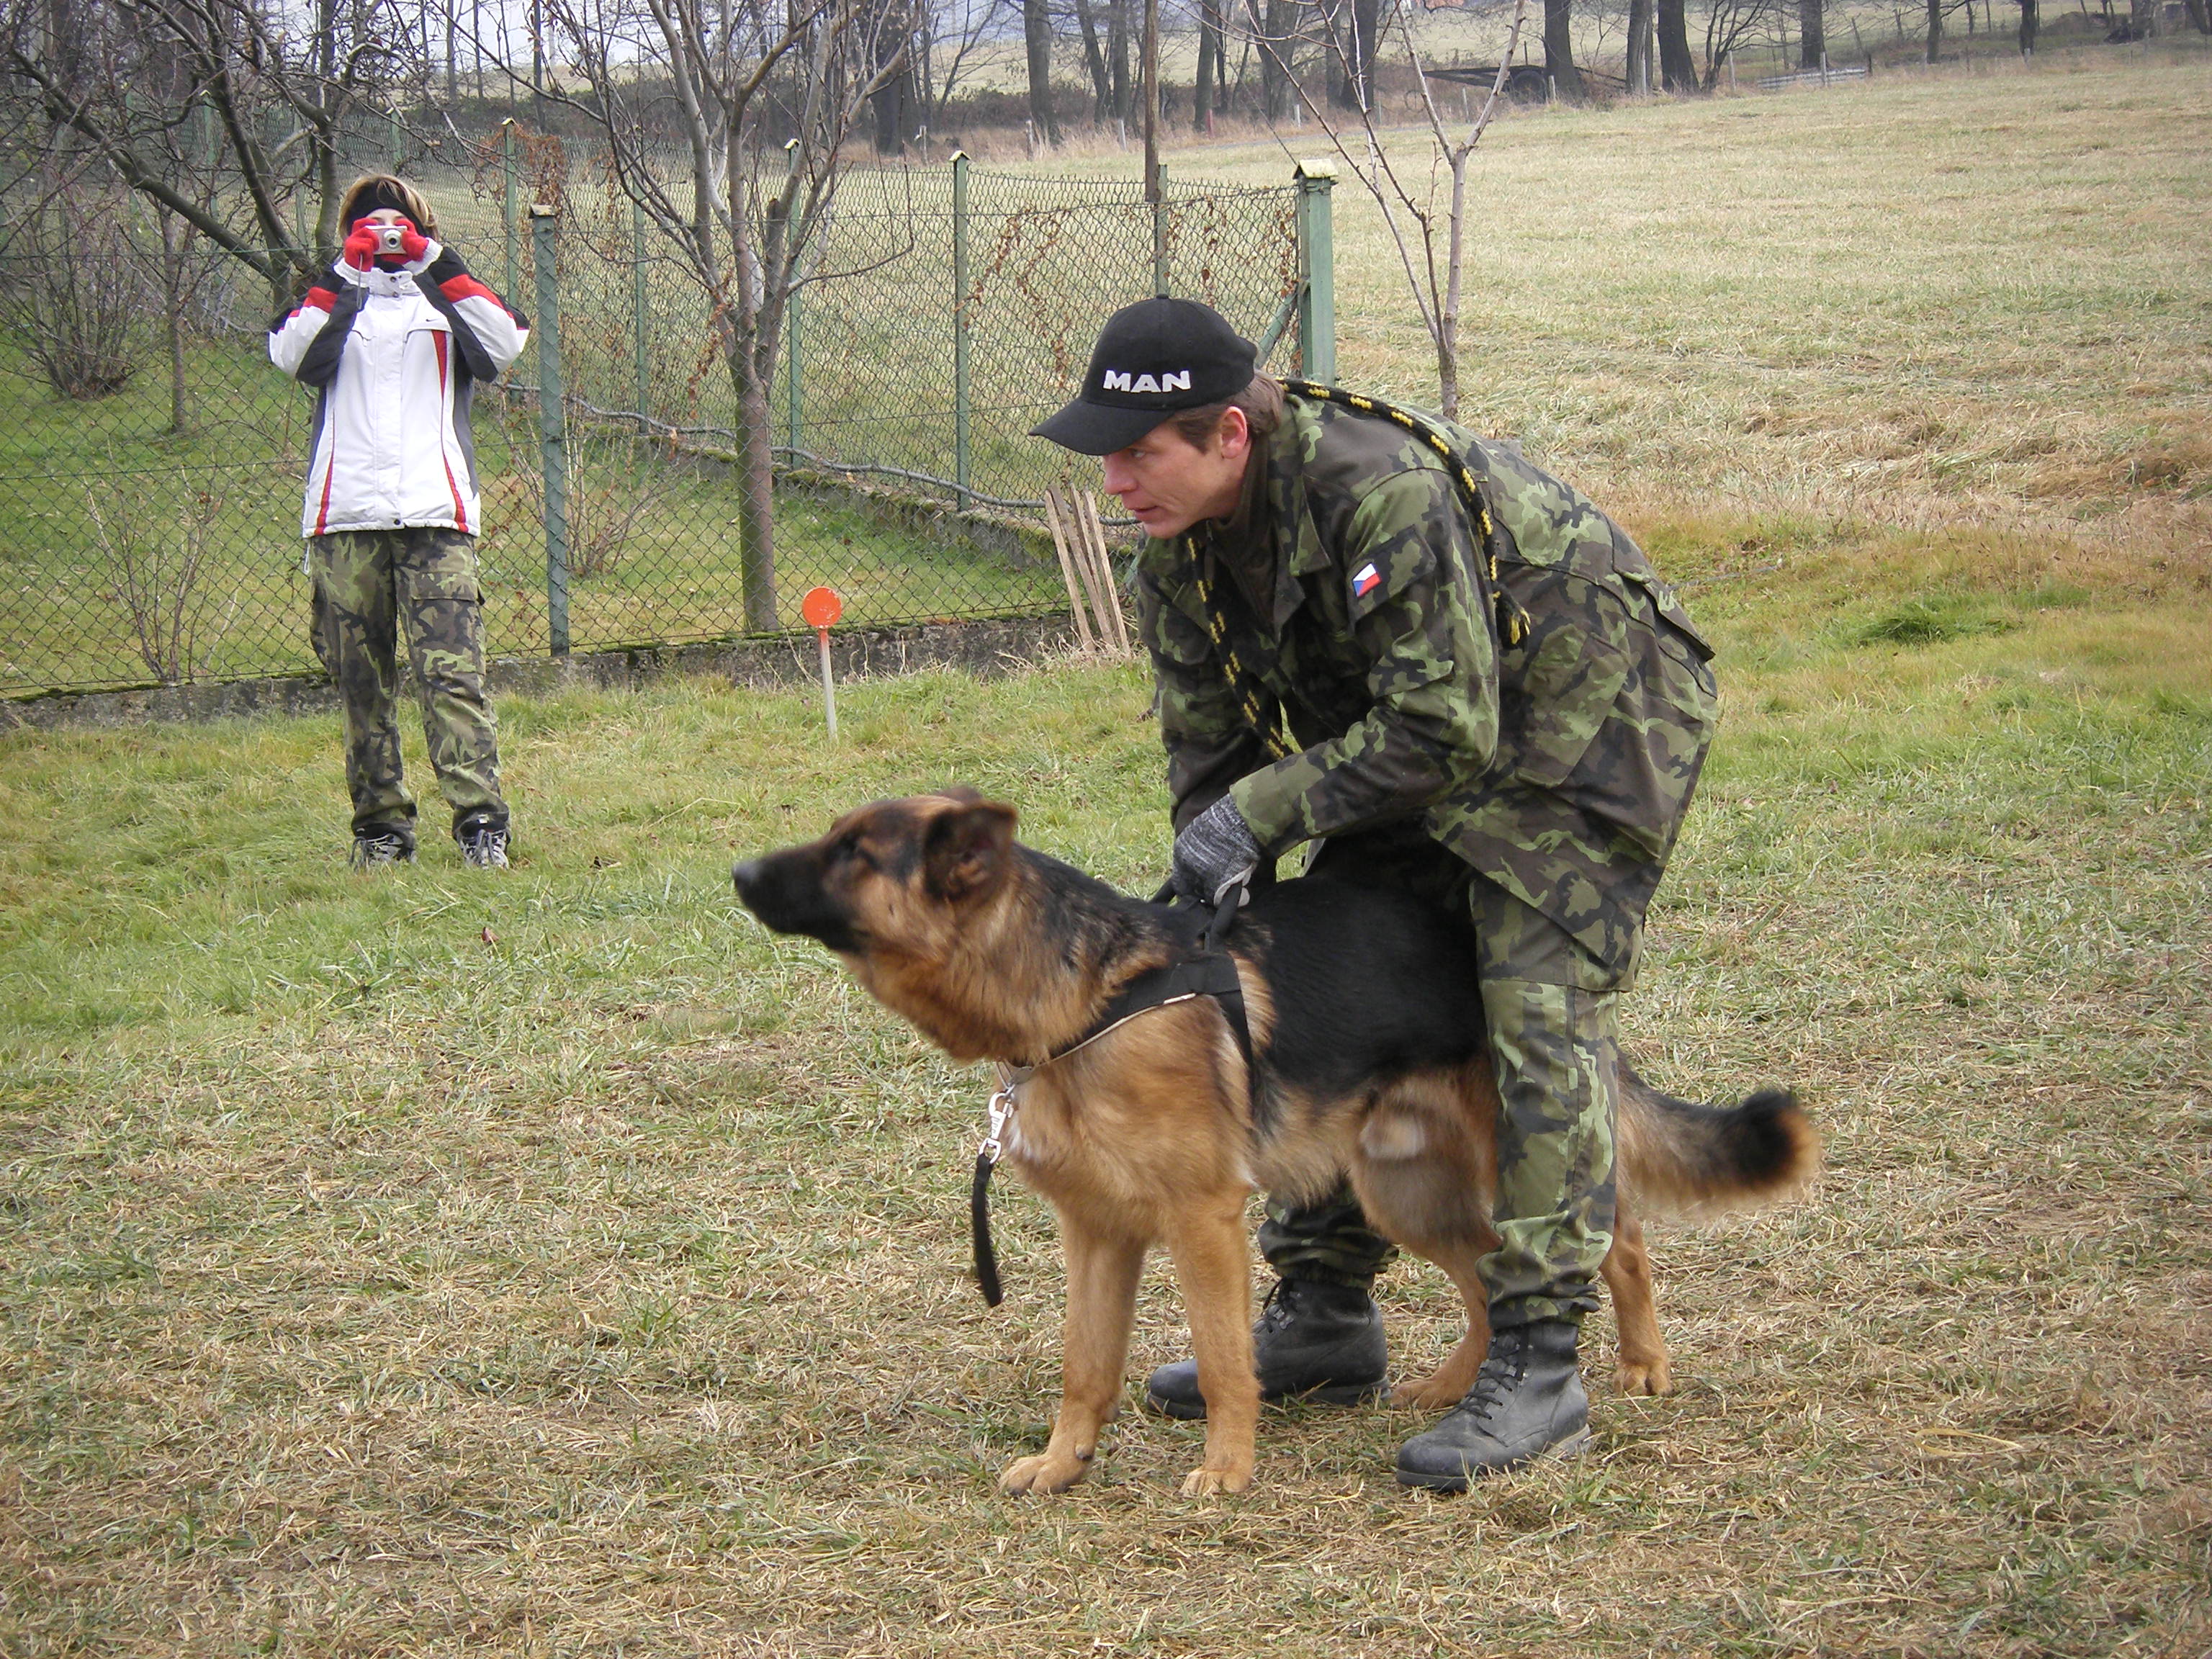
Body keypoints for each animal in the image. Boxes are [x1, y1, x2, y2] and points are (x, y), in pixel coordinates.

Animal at [734, 801, 1804, 1503]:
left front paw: (1227, 1470)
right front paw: (1065, 1463)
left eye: (854, 852)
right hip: (1400, 1190)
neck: (1087, 999)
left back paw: (1639, 1365)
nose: (737, 874)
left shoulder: (1202, 1223)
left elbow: (1220, 1360)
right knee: (1479, 1281)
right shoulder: (1100, 1234)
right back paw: (1449, 1392)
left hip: (1512, 1156)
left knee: (1609, 1244)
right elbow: (1085, 1364)